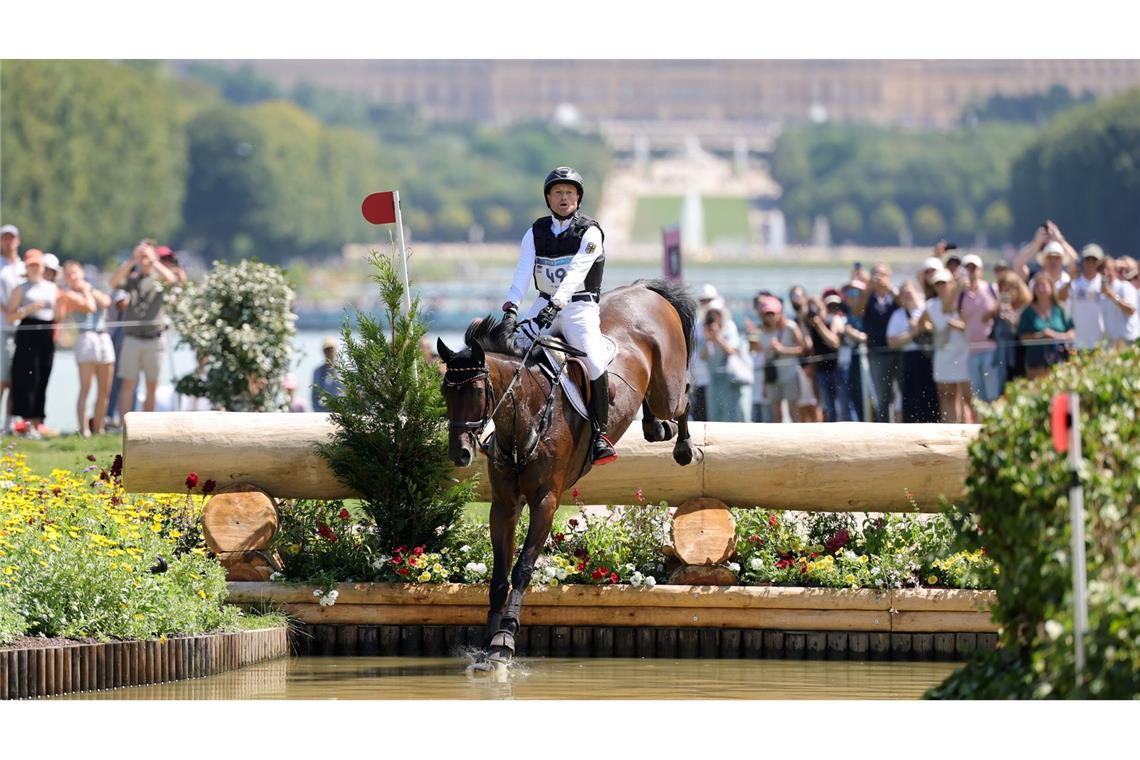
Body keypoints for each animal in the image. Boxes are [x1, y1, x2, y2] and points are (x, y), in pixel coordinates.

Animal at [435, 279, 697, 665]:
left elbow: (523, 567)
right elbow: (499, 573)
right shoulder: (504, 504)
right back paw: (654, 427)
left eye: (479, 391)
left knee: (685, 396)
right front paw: (486, 641)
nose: (460, 453)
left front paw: (504, 640)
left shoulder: (546, 500)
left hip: (669, 387)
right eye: (445, 391)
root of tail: (643, 289)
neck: (525, 417)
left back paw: (683, 447)